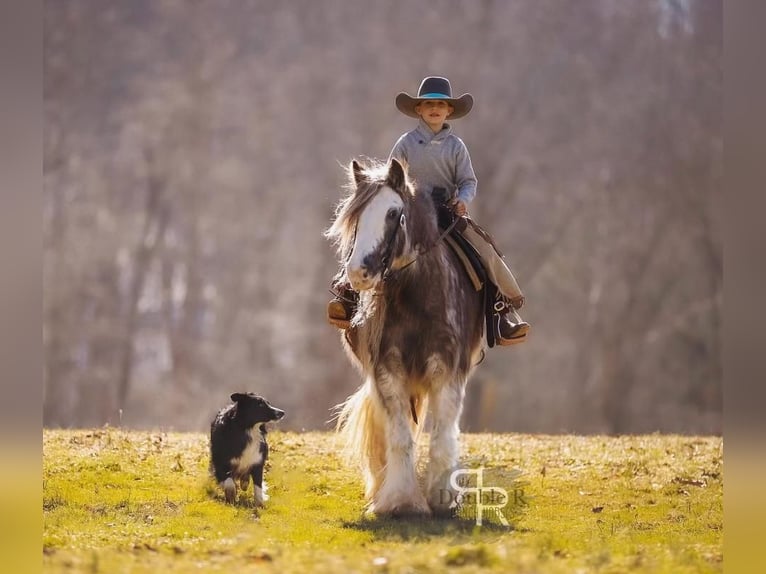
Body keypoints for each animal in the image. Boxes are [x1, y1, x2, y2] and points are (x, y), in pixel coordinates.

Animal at [326, 158, 486, 516]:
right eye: (356, 217)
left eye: (392, 214)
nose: (358, 273)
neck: (418, 297)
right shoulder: (388, 370)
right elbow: (399, 437)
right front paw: (399, 500)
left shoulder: (447, 371)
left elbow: (441, 436)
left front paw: (442, 497)